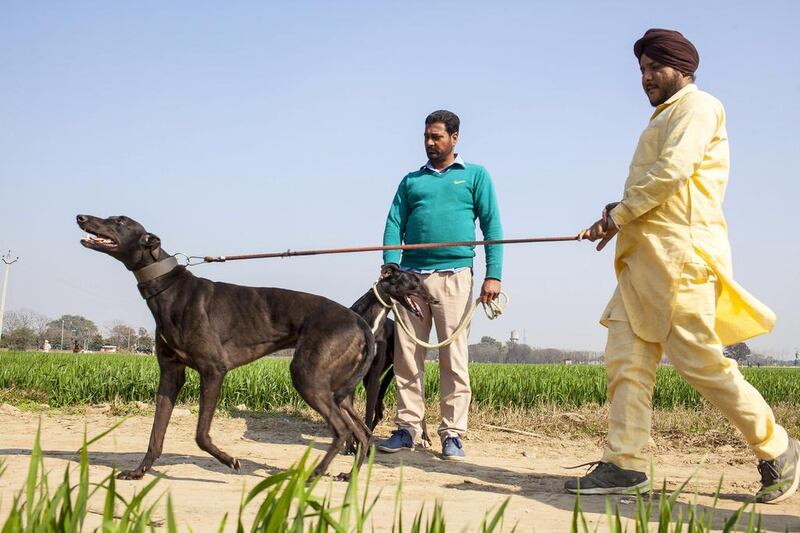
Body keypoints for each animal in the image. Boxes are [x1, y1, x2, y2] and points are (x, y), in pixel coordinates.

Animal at [76, 214, 424, 480]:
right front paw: (139, 472)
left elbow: (201, 434)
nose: (81, 217)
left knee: (341, 431)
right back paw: (349, 476)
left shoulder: (213, 370)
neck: (169, 289)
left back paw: (314, 474)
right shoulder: (171, 374)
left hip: (309, 377)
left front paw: (229, 460)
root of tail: (359, 322)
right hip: (338, 389)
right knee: (361, 433)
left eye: (120, 221)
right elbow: (155, 434)